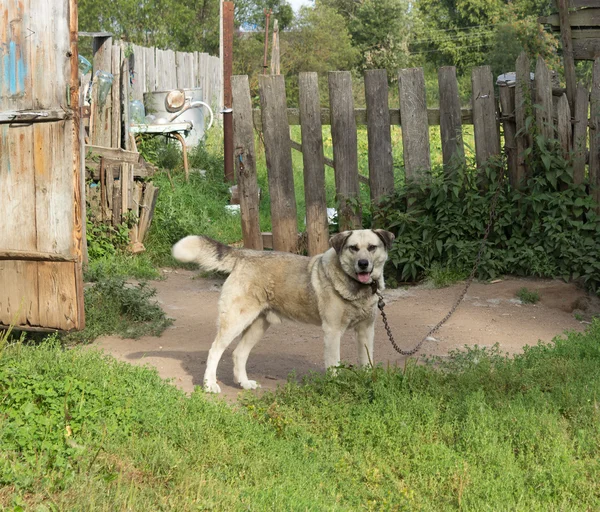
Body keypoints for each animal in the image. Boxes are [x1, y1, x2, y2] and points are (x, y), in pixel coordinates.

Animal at [171, 228, 396, 392]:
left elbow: (367, 361)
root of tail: (245, 254)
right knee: (215, 350)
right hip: (235, 321)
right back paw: (210, 385)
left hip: (258, 325)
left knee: (238, 353)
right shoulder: (332, 332)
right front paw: (337, 387)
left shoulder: (366, 330)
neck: (358, 289)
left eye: (372, 247)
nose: (363, 264)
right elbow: (334, 365)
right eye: (353, 248)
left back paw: (245, 383)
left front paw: (369, 383)